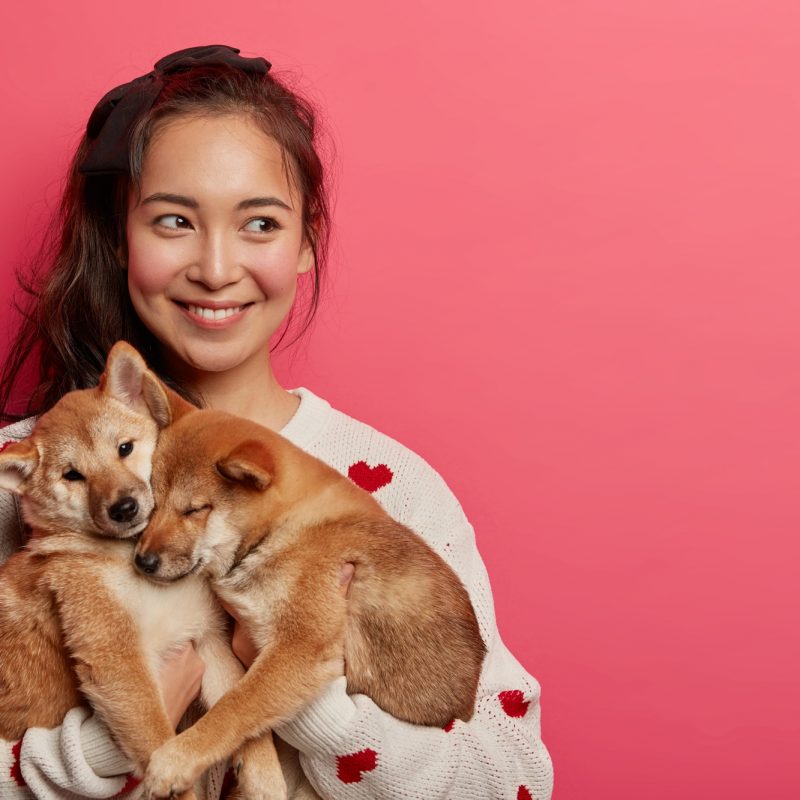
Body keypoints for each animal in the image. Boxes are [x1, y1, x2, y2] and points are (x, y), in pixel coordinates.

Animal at [0, 340, 244, 796]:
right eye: (72, 476)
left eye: (125, 448)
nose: (124, 507)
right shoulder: (116, 659)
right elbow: (157, 739)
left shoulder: (206, 638)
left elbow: (234, 715)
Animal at [130, 368, 488, 800]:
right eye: (153, 500)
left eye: (194, 510)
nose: (142, 561)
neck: (282, 525)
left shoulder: (300, 646)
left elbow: (236, 705)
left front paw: (178, 758)